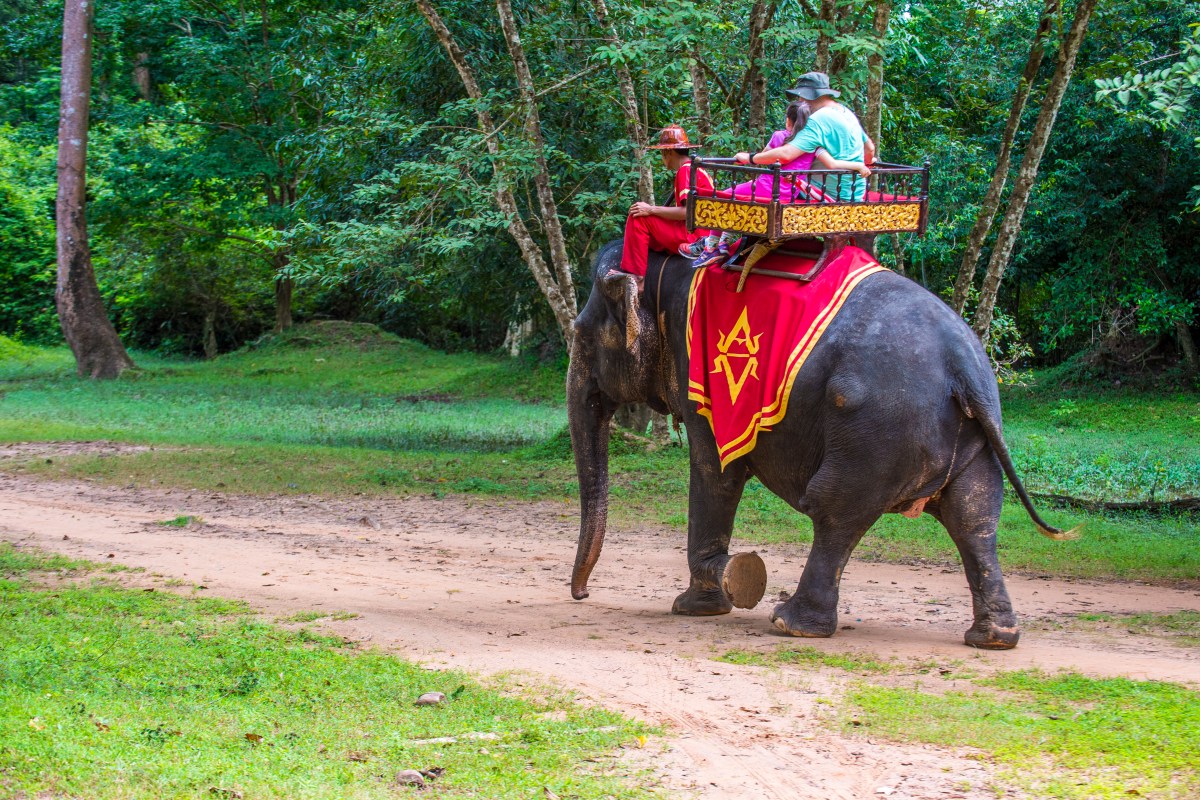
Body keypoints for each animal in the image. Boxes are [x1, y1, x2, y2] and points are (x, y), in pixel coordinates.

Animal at [566, 241, 1074, 650]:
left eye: (581, 334)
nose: (583, 595)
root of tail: (964, 364)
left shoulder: (706, 382)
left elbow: (715, 471)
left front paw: (704, 598)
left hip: (877, 431)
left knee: (834, 510)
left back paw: (791, 624)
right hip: (967, 437)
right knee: (975, 518)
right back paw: (994, 638)